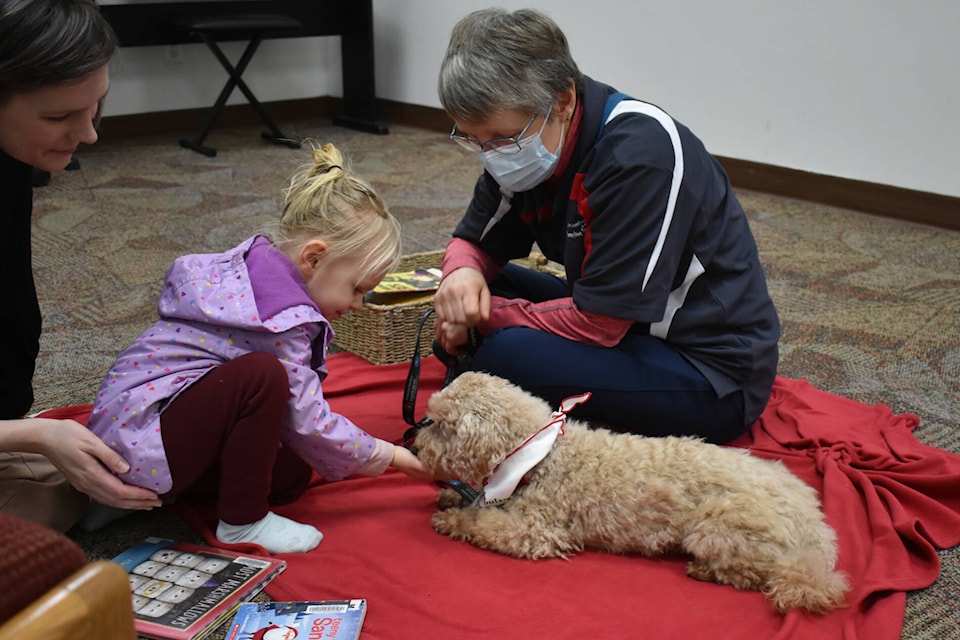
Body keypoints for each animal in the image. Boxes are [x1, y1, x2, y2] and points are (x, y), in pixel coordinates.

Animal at [416, 372, 852, 612]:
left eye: (438, 424)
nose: (415, 446)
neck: (539, 454)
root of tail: (815, 528)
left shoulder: (534, 531)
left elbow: (481, 521)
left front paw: (451, 518)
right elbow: (478, 498)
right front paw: (453, 495)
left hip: (718, 528)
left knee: (753, 573)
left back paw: (704, 570)